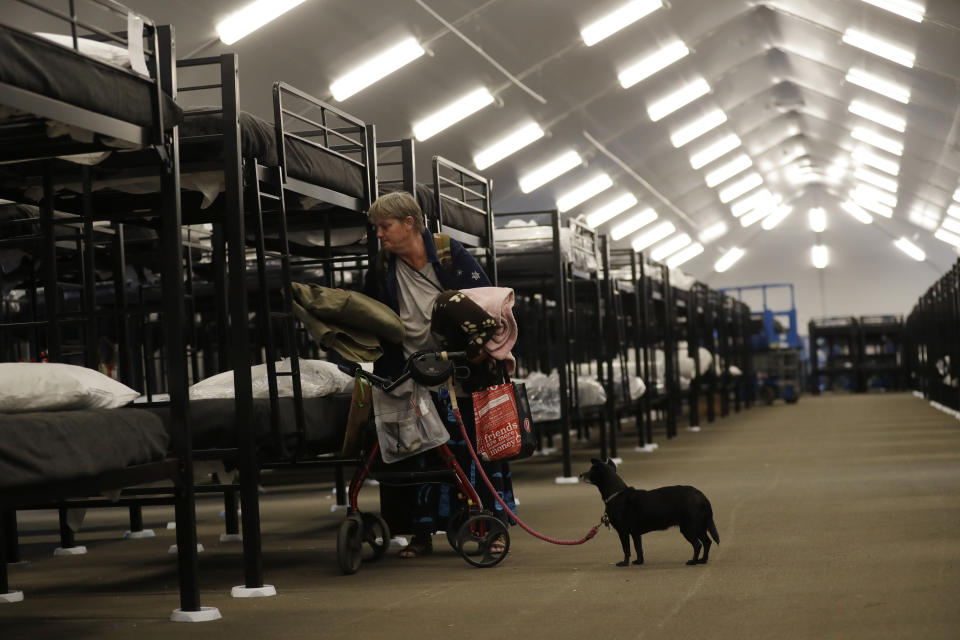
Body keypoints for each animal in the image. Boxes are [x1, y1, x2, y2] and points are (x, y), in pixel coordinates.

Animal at [576, 458, 720, 568]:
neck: (616, 494)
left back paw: (693, 561)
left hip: (689, 527)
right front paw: (639, 562)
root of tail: (702, 496)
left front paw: (624, 563)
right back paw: (703, 560)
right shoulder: (635, 533)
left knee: (698, 544)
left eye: (591, 470)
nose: (580, 474)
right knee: (707, 542)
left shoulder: (623, 532)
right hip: (699, 526)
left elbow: (626, 549)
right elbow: (638, 548)